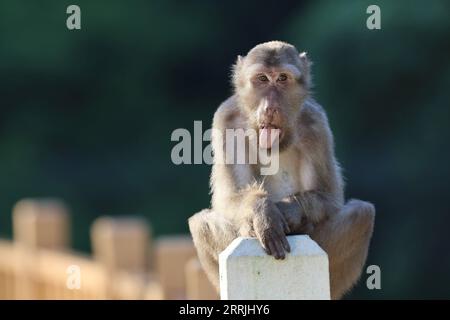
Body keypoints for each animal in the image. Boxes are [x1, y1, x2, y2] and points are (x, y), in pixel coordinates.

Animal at [188, 40, 374, 300]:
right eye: (262, 79)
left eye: (282, 78)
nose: (270, 107)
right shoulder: (226, 119)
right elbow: (230, 198)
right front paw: (261, 212)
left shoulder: (316, 122)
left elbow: (330, 197)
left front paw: (290, 210)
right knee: (201, 222)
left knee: (362, 214)